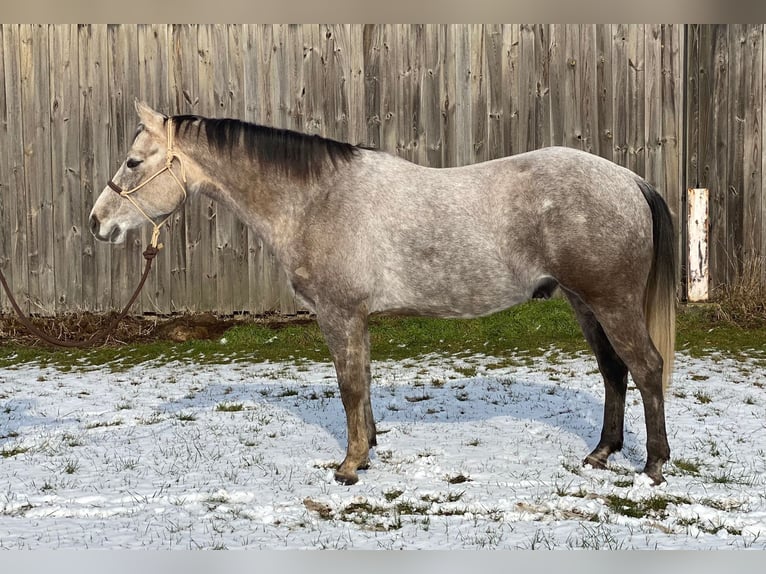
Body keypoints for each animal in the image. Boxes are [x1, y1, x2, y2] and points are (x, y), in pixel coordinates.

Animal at [89, 101, 677, 486]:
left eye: (133, 162)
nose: (98, 223)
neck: (317, 200)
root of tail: (628, 179)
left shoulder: (339, 314)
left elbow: (350, 387)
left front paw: (349, 467)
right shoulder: (358, 319)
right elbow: (365, 384)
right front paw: (369, 448)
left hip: (611, 302)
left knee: (646, 368)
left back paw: (653, 465)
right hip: (584, 302)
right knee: (614, 371)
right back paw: (601, 454)